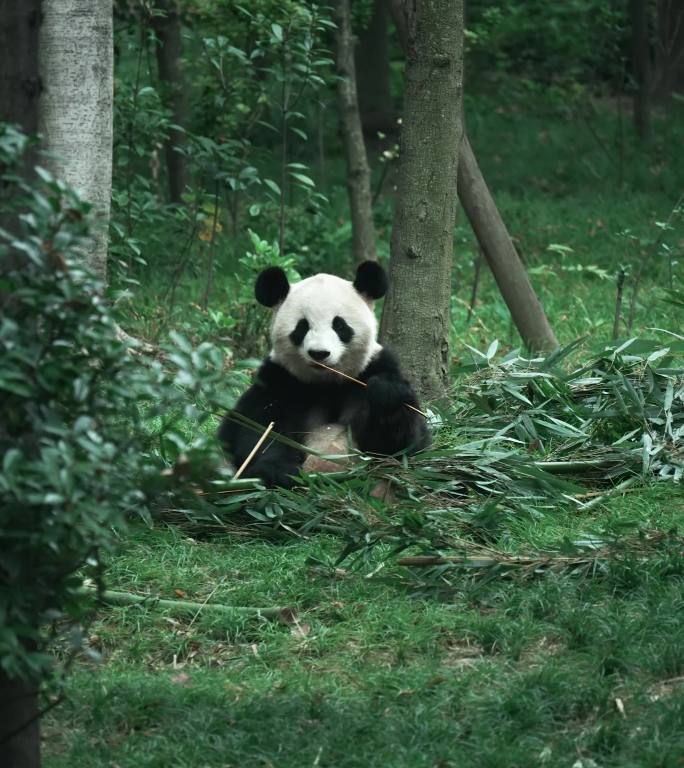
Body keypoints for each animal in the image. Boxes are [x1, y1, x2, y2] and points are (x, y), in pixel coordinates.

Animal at [219, 258, 430, 486]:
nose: (319, 353)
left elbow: (398, 446)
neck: (326, 382)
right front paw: (276, 471)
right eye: (302, 327)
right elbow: (260, 428)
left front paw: (387, 394)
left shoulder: (370, 370)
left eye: (339, 325)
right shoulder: (279, 380)